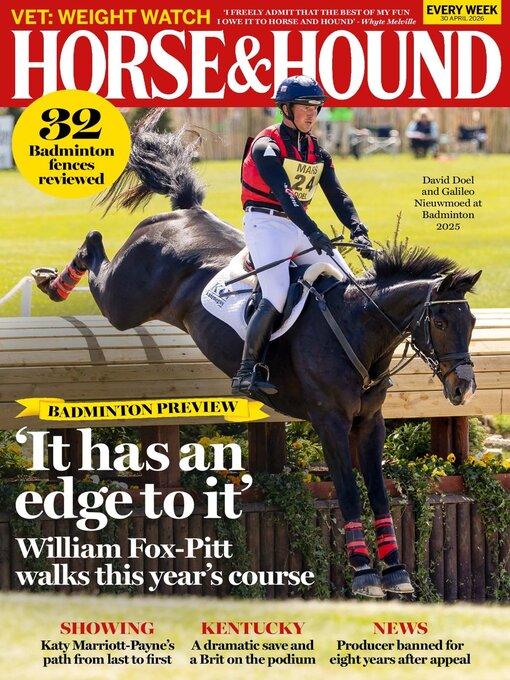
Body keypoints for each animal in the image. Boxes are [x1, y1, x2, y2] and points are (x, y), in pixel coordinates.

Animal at [33, 110, 481, 598]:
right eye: (440, 322)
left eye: (472, 323)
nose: (464, 387)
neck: (357, 328)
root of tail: (184, 211)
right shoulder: (330, 421)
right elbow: (347, 490)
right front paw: (364, 574)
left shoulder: (369, 422)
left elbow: (379, 490)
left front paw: (396, 571)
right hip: (125, 302)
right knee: (96, 246)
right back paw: (53, 282)